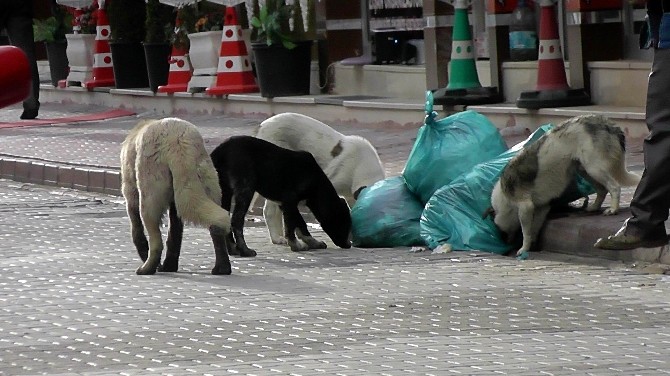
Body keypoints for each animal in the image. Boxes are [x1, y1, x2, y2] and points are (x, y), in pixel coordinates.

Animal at [121, 119, 234, 274]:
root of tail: (179, 142)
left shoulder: (130, 190)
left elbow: (136, 229)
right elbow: (175, 231)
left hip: (151, 189)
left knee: (155, 238)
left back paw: (148, 267)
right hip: (206, 180)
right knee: (214, 222)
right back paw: (221, 267)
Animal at [211, 135, 354, 256]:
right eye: (344, 223)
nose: (348, 245)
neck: (316, 182)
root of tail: (220, 149)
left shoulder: (284, 203)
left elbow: (300, 223)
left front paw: (312, 242)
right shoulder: (290, 200)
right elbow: (292, 225)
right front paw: (296, 245)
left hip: (225, 190)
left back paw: (232, 249)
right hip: (246, 188)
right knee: (236, 220)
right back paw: (244, 250)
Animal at [490, 114, 644, 256]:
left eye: (501, 232)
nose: (505, 246)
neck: (504, 197)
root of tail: (608, 123)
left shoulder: (525, 207)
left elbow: (526, 232)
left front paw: (524, 248)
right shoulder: (541, 208)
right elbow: (534, 229)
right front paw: (532, 245)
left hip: (593, 168)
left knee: (614, 187)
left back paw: (613, 209)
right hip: (584, 169)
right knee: (602, 190)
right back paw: (594, 207)